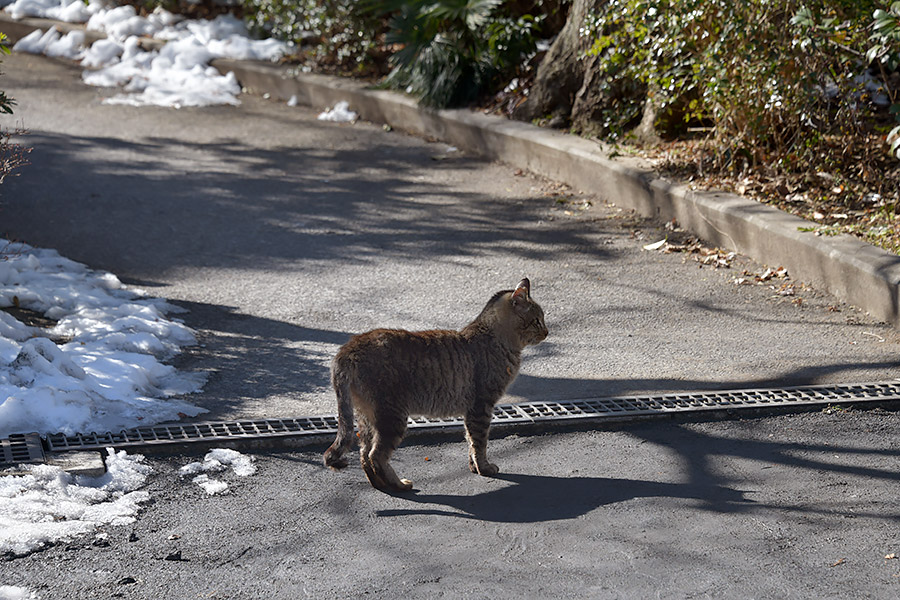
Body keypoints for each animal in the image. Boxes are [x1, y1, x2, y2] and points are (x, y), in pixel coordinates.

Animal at [324, 278, 548, 490]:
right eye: (537, 320)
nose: (547, 332)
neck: (497, 339)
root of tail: (349, 348)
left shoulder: (471, 411)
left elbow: (470, 440)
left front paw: (474, 467)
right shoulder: (482, 406)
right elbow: (480, 442)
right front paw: (484, 468)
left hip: (366, 417)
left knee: (364, 454)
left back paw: (380, 485)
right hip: (392, 416)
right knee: (375, 455)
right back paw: (399, 485)